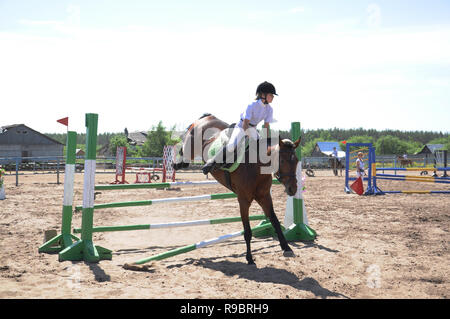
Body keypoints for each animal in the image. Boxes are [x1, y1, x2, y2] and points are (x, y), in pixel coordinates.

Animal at [172, 114, 298, 264]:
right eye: (282, 161)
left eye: (297, 161)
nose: (293, 189)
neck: (257, 166)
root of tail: (208, 117)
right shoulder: (243, 200)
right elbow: (247, 231)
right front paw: (249, 258)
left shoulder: (265, 197)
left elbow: (275, 221)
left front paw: (286, 248)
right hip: (190, 145)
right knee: (184, 154)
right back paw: (177, 163)